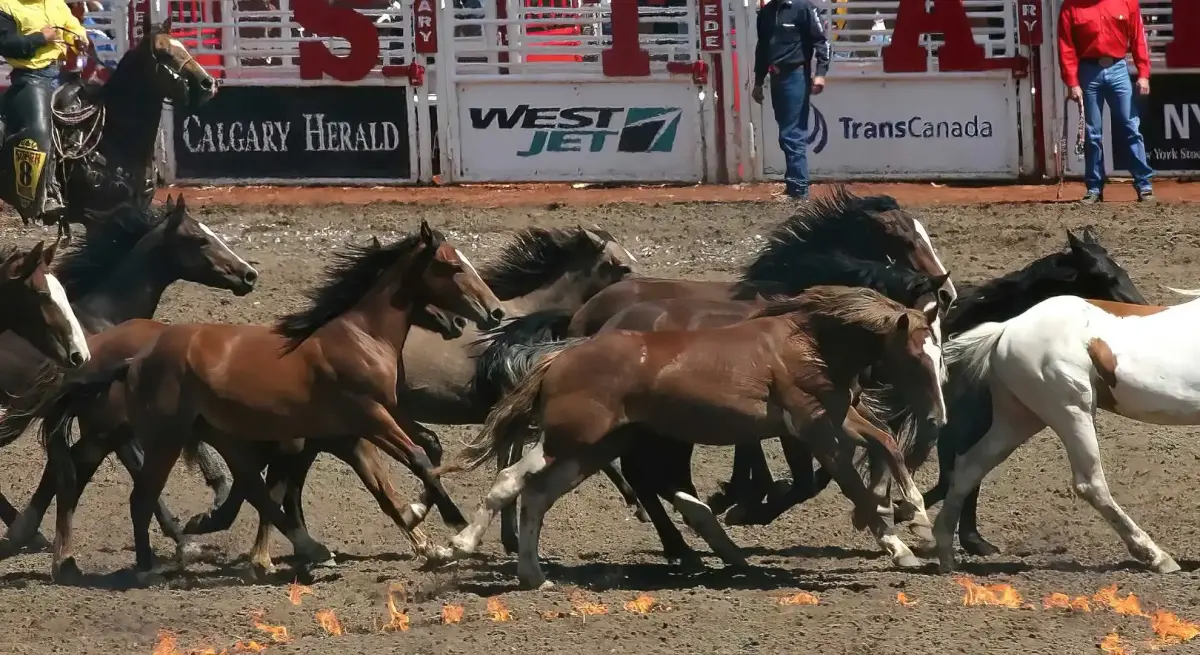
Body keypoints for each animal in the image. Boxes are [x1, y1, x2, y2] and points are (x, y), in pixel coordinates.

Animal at [0, 195, 258, 558]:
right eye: (200, 238)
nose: (249, 275)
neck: (104, 320)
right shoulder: (106, 419)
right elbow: (139, 470)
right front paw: (185, 538)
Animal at [428, 286, 947, 589]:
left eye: (939, 352)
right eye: (916, 356)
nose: (939, 418)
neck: (807, 343)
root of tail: (562, 356)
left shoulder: (839, 417)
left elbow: (886, 444)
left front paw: (918, 521)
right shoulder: (813, 428)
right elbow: (852, 483)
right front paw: (901, 546)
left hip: (594, 448)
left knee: (536, 494)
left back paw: (532, 574)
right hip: (568, 440)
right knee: (511, 482)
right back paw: (455, 548)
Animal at [934, 288, 1200, 575]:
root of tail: (1006, 329)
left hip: (1019, 419)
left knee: (969, 467)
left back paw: (946, 555)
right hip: (1072, 412)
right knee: (1090, 483)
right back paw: (1156, 557)